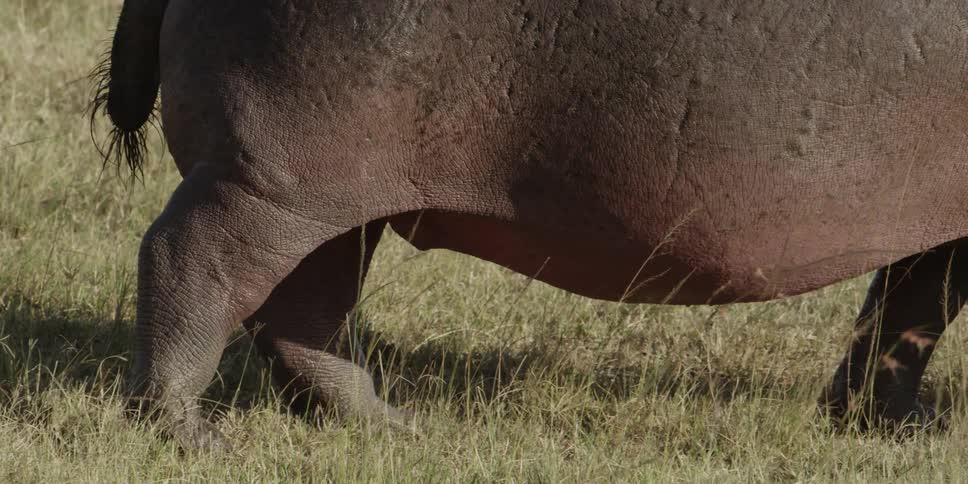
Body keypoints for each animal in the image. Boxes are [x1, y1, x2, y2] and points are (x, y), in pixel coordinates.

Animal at [92, 0, 968, 449]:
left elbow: (908, 310)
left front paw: (891, 428)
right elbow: (914, 310)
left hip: (329, 198)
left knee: (304, 313)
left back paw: (395, 428)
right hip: (272, 179)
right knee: (189, 262)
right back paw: (188, 434)